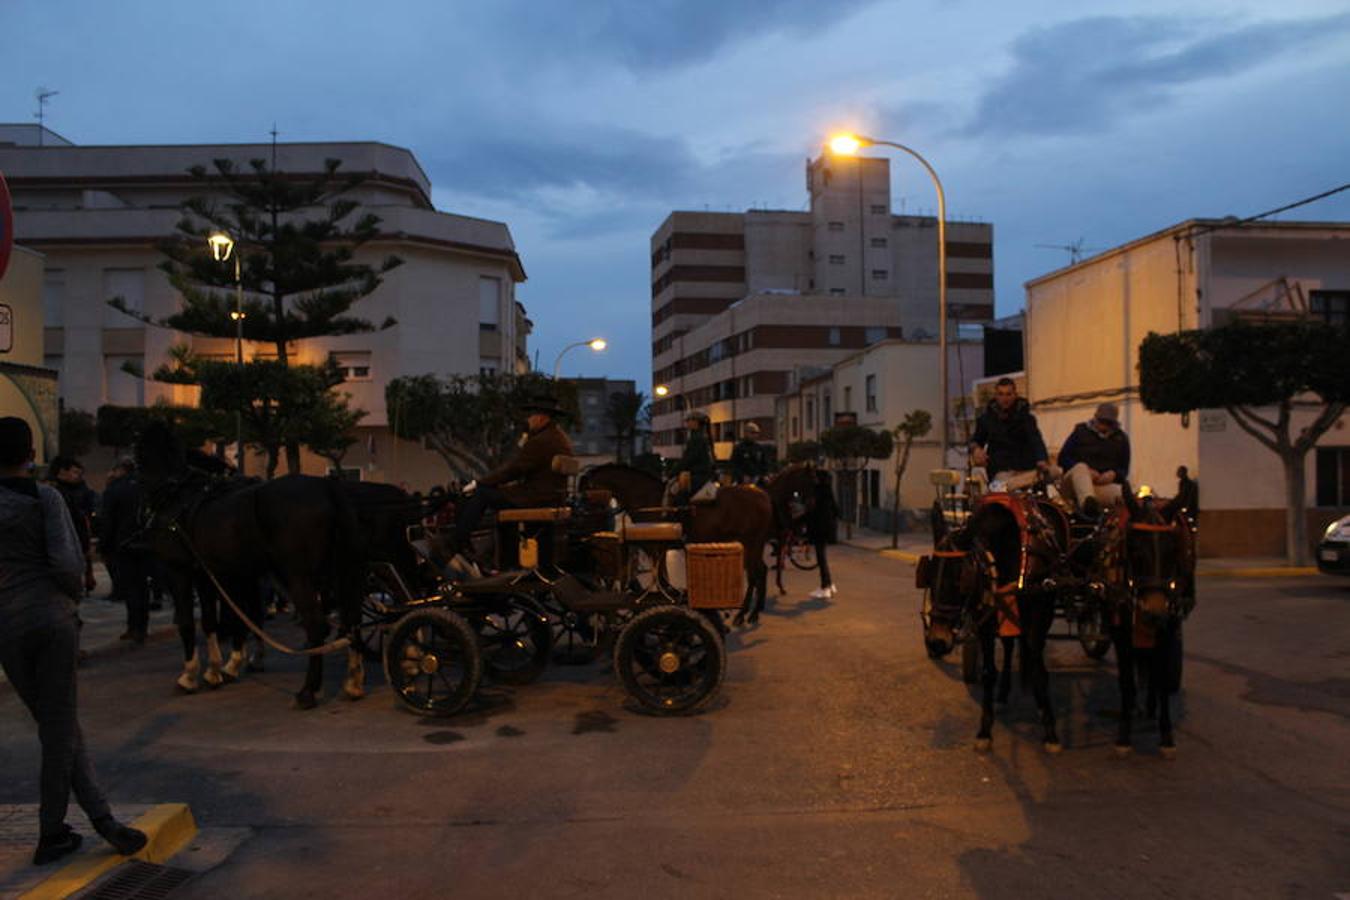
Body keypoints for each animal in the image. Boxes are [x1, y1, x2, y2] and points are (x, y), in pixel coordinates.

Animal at [135, 423, 367, 712]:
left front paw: (189, 676)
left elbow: (188, 623)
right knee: (352, 619)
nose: (142, 506)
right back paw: (353, 682)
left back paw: (307, 691)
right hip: (341, 571)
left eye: (138, 455)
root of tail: (328, 489)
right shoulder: (207, 575)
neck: (179, 496)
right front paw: (214, 671)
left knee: (317, 626)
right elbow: (211, 621)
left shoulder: (179, 572)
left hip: (298, 576)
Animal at [1107, 488, 1193, 755]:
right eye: (1134, 550)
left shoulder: (1169, 624)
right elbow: (1126, 681)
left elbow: (1162, 676)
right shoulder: (1120, 633)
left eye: (1173, 550)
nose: (1154, 611)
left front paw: (1166, 734)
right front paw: (1124, 734)